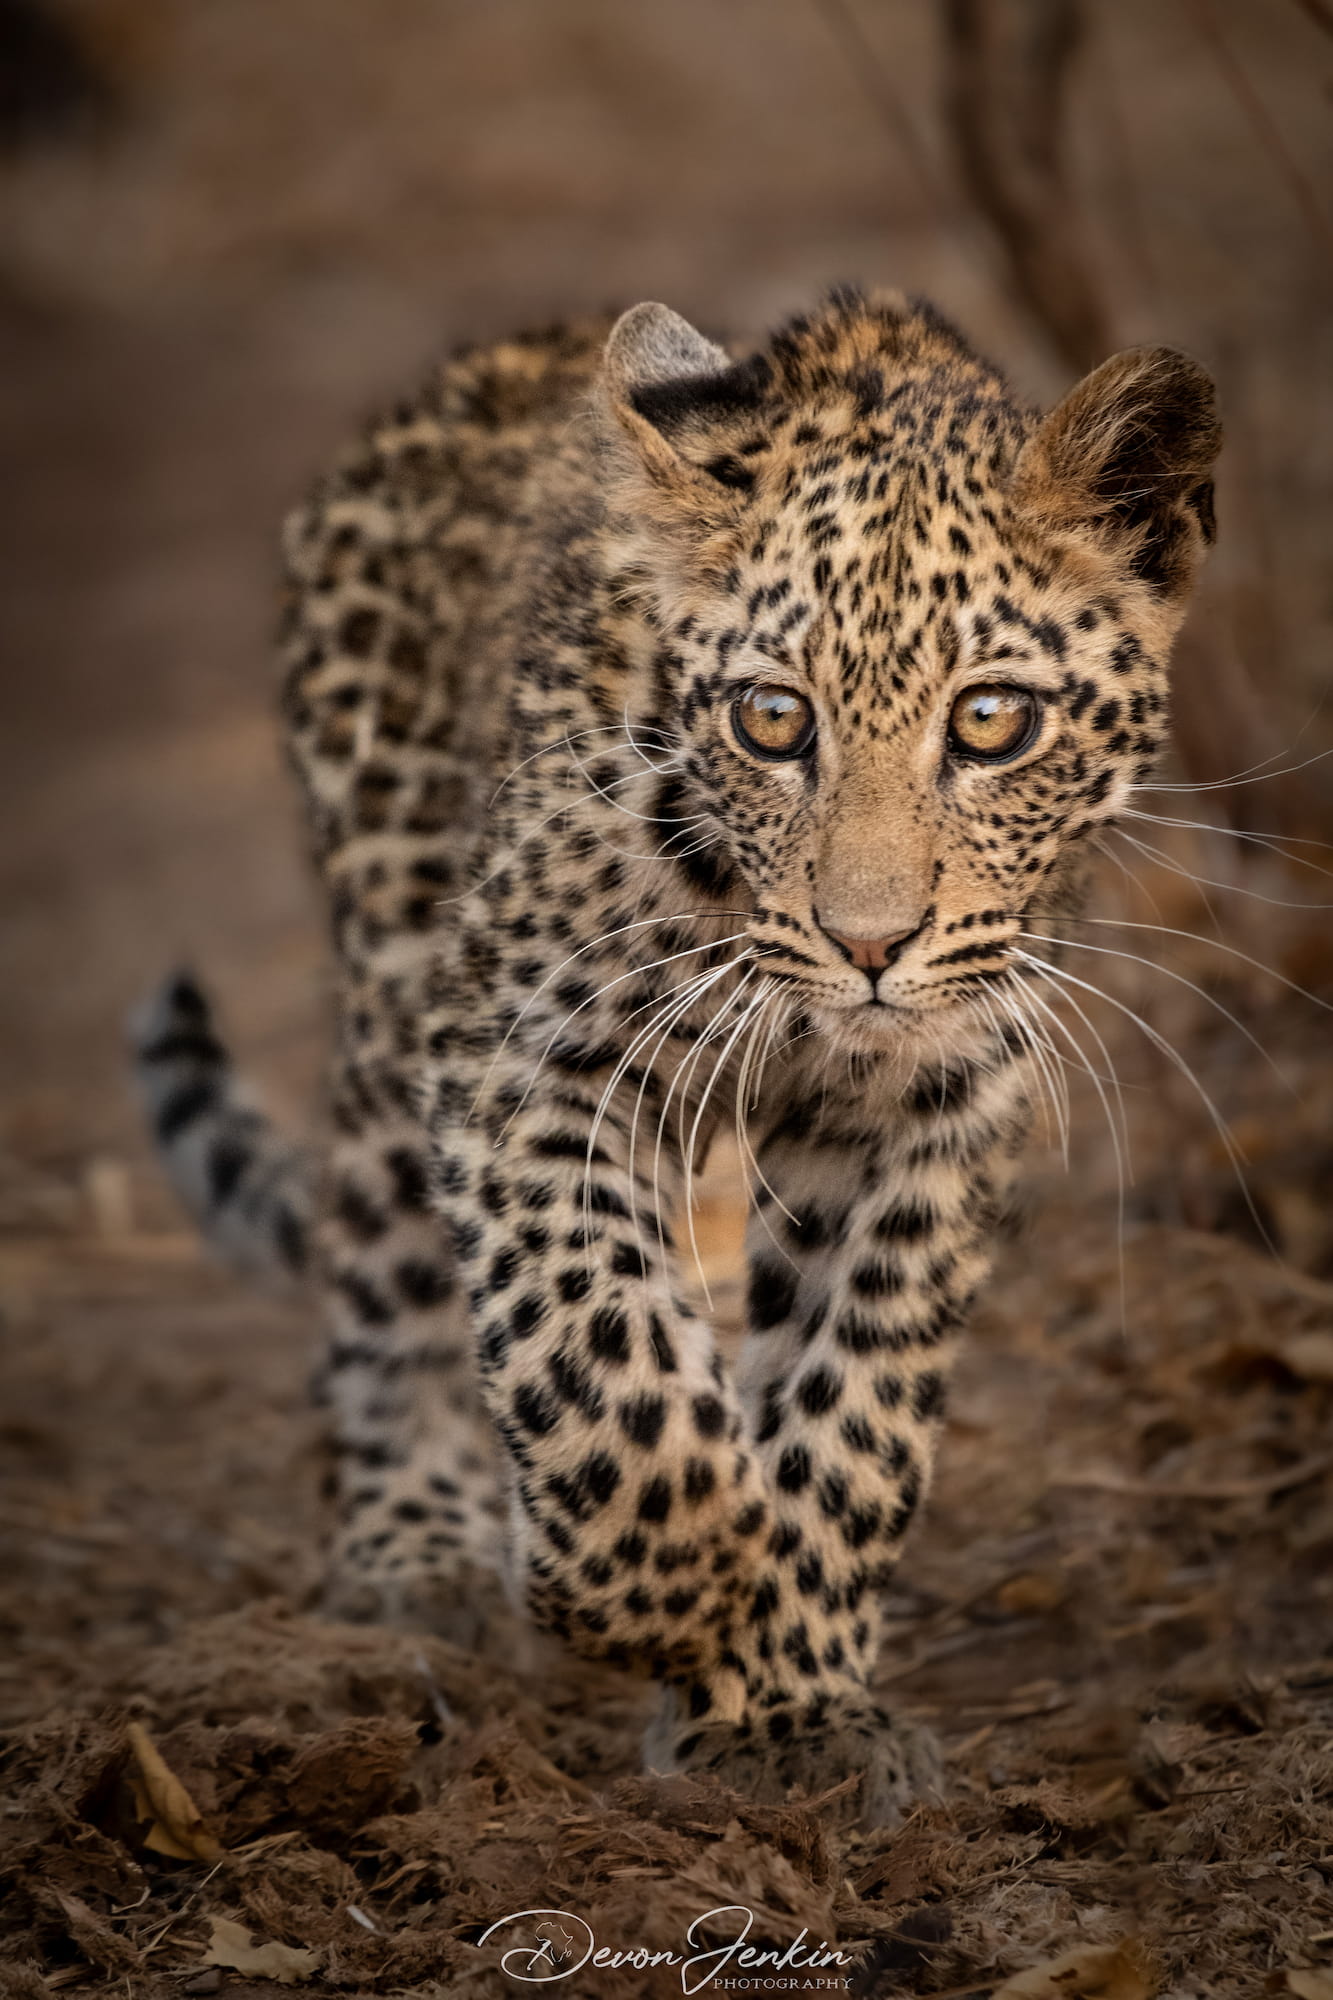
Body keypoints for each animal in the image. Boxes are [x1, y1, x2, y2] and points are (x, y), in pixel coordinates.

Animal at [133, 286, 1219, 1824]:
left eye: (991, 719)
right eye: (773, 719)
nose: (868, 945)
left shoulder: (926, 1111)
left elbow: (854, 1407)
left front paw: (786, 1703)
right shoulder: (528, 1057)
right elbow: (596, 1348)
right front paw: (652, 1591)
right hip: (398, 960)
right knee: (379, 1274)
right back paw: (414, 1553)